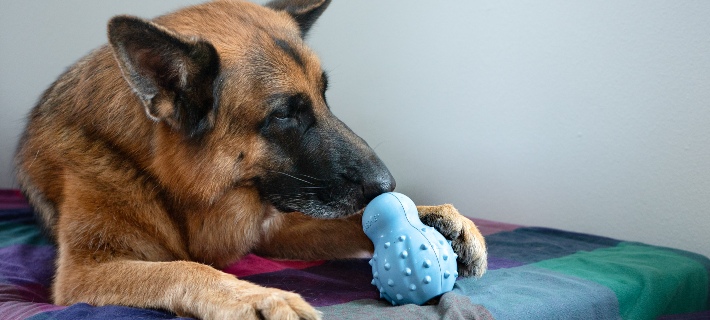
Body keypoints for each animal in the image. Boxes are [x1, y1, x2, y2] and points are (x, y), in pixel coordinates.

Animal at [13, 1, 490, 318]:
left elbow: (353, 220)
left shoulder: (276, 229)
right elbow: (182, 269)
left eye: (324, 96)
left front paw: (433, 215)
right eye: (284, 115)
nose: (387, 186)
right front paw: (261, 297)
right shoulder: (85, 272)